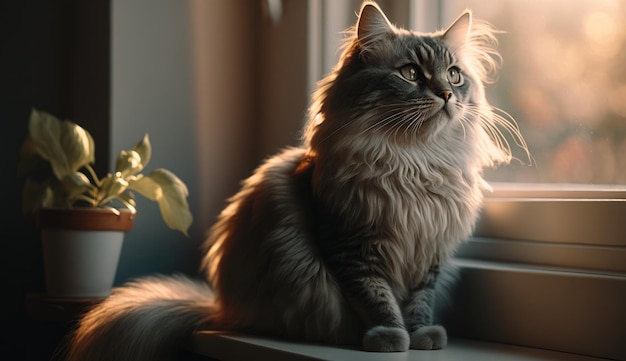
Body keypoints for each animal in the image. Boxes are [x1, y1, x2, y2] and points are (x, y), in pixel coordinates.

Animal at [61, 1, 524, 358]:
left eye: (455, 75)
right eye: (410, 73)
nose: (446, 95)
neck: (414, 162)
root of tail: (220, 311)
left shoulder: (430, 254)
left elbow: (419, 303)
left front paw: (421, 336)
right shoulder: (350, 245)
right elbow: (377, 298)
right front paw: (390, 338)